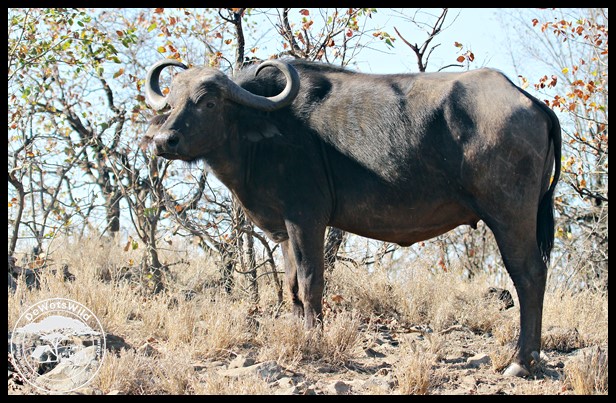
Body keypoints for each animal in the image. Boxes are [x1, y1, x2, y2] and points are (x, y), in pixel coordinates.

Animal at [142, 58, 561, 377]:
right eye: (171, 102)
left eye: (208, 102)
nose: (163, 141)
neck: (266, 134)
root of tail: (530, 101)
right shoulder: (286, 231)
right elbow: (292, 287)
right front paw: (298, 333)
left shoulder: (306, 219)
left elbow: (311, 283)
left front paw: (313, 340)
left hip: (509, 216)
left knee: (529, 275)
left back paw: (521, 361)